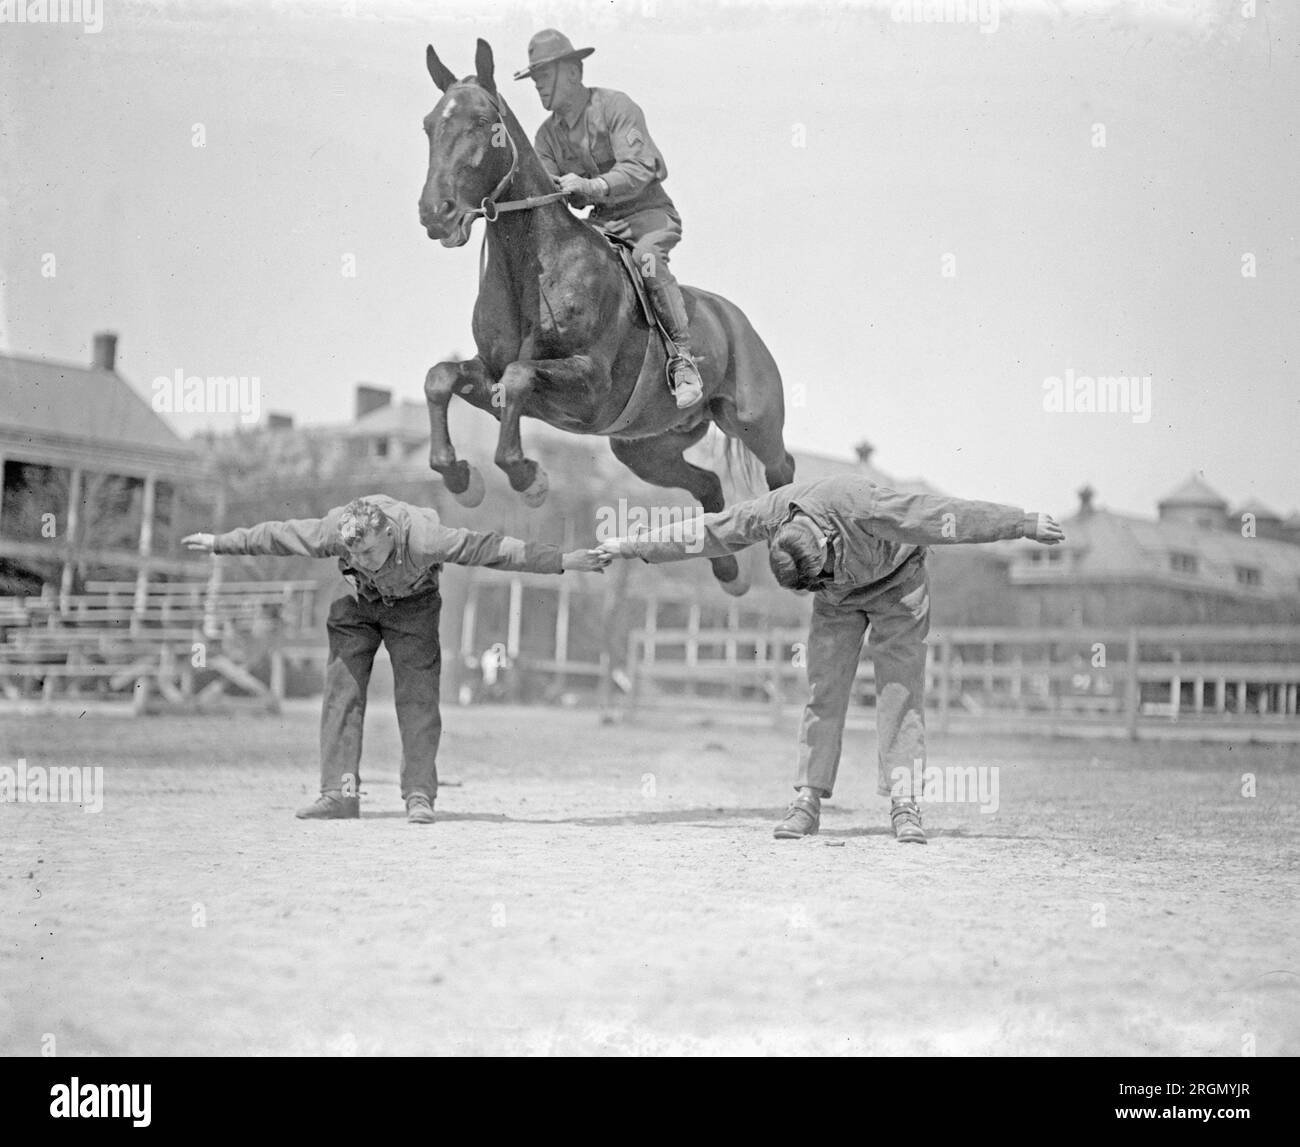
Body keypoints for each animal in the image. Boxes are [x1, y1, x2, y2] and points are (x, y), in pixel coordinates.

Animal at [421, 40, 795, 595]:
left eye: (483, 121)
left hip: (752, 421)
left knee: (781, 465)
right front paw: (463, 480)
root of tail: (738, 323)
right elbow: (443, 377)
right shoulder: (490, 375)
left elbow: (518, 378)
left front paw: (529, 480)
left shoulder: (590, 385)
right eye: (429, 125)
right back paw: (727, 571)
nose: (435, 213)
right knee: (707, 483)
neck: (536, 266)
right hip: (643, 448)